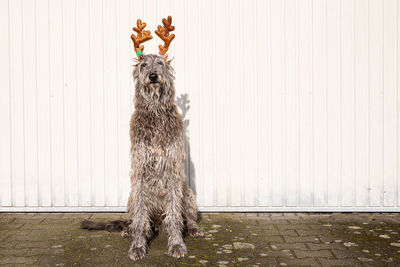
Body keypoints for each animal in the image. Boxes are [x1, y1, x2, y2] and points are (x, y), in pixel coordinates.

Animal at [80, 54, 203, 262]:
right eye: (144, 64)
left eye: (160, 63)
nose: (153, 76)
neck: (155, 111)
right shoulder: (140, 172)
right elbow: (140, 217)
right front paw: (138, 245)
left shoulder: (173, 170)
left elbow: (175, 215)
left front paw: (177, 244)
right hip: (132, 195)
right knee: (138, 219)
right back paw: (129, 229)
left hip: (187, 192)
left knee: (187, 216)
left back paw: (193, 228)